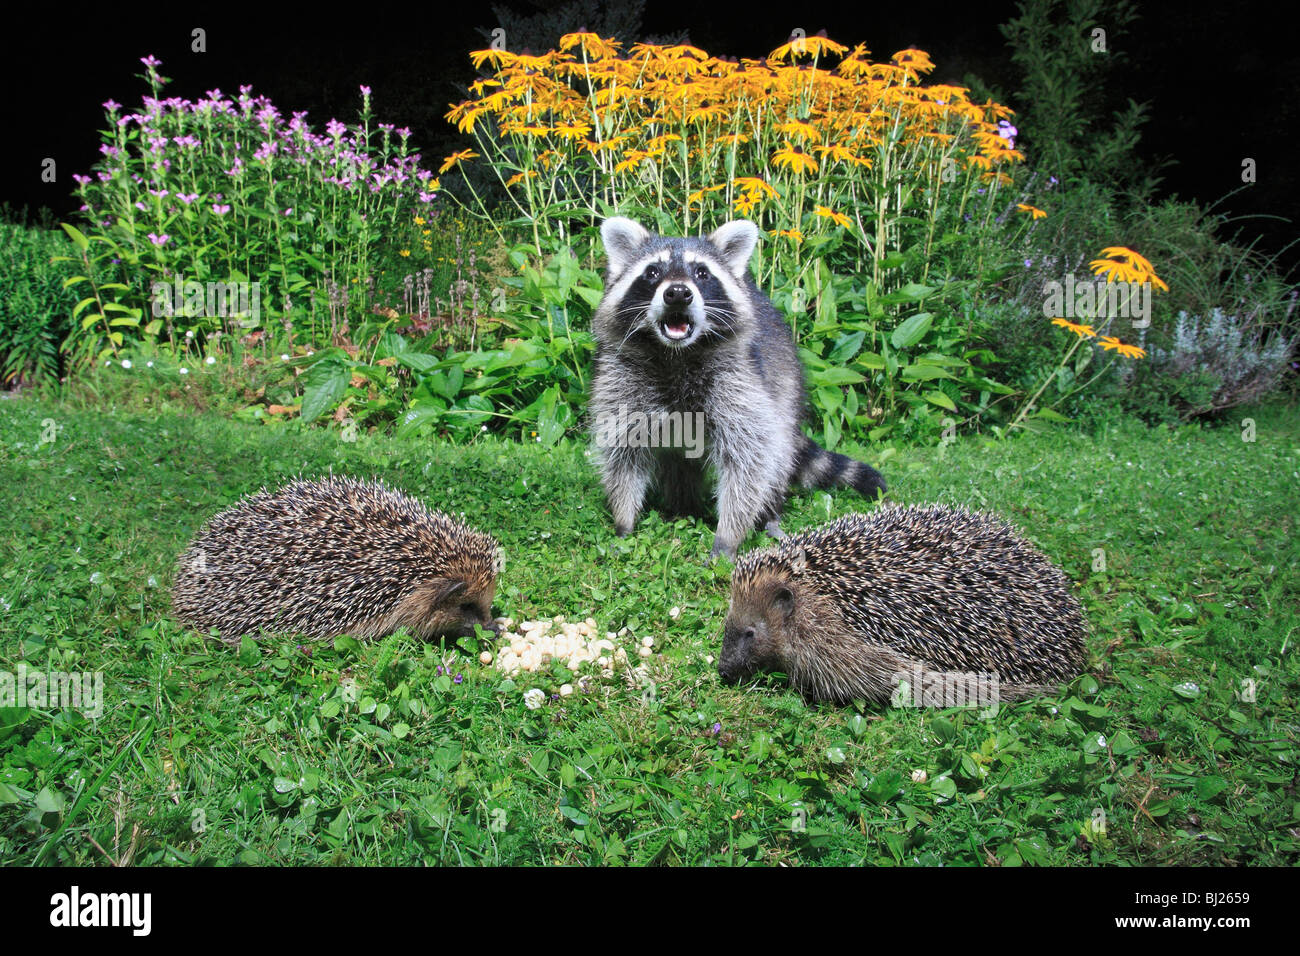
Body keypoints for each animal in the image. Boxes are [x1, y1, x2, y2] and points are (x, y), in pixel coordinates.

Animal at [590, 217, 883, 556]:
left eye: (702, 273)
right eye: (652, 272)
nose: (678, 293)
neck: (676, 354)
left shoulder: (741, 380)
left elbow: (748, 461)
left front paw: (728, 535)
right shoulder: (622, 379)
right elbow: (624, 452)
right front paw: (624, 518)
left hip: (784, 386)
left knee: (776, 455)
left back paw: (769, 514)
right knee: (680, 464)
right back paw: (683, 506)